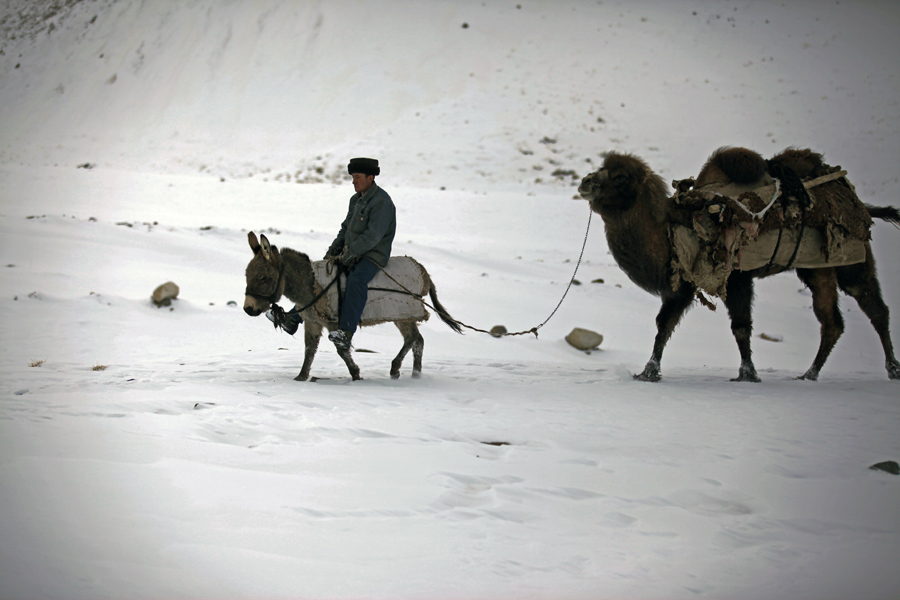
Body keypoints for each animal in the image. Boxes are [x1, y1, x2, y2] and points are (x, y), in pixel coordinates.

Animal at [576, 150, 900, 382]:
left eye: (621, 177)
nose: (586, 182)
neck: (676, 231)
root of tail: (859, 204)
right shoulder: (683, 282)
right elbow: (664, 325)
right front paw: (648, 373)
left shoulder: (736, 275)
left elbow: (741, 325)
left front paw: (748, 375)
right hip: (817, 266)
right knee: (831, 320)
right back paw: (809, 375)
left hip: (852, 257)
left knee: (874, 307)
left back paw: (892, 370)